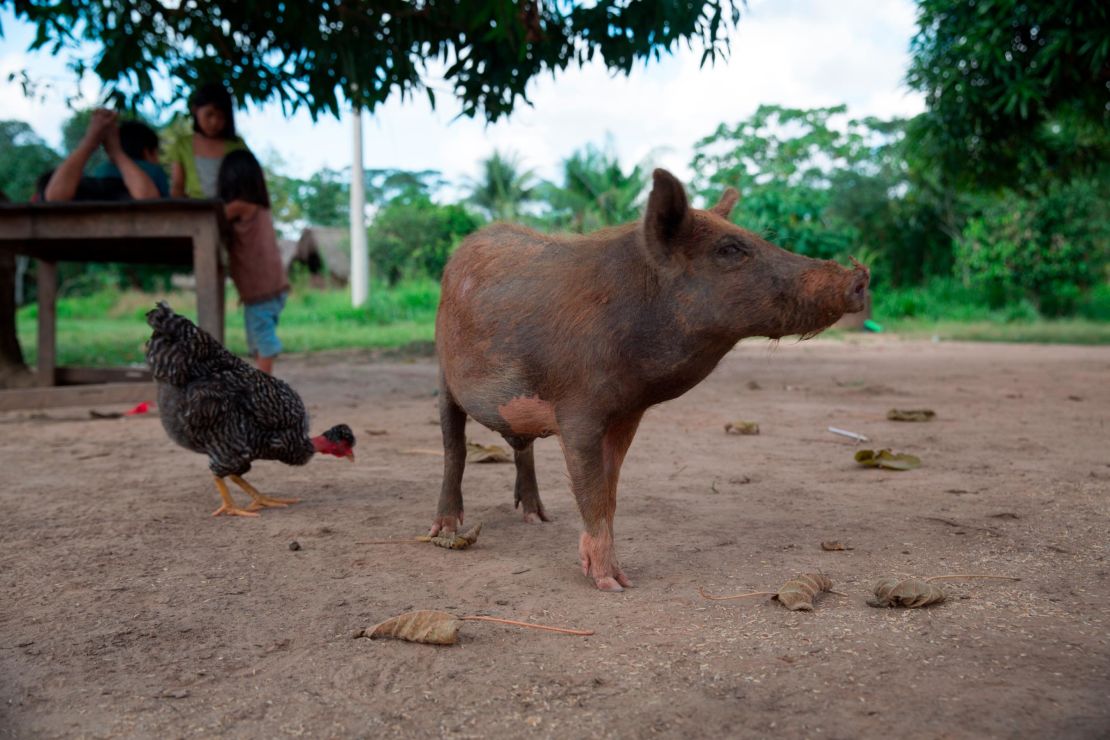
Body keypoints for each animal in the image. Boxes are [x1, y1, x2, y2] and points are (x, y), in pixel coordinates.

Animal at [428, 170, 870, 594]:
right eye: (730, 249)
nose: (859, 277)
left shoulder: (627, 415)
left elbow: (609, 492)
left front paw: (620, 578)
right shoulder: (578, 409)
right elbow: (591, 492)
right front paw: (611, 585)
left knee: (524, 450)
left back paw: (538, 518)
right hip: (443, 371)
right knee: (454, 447)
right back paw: (444, 529)